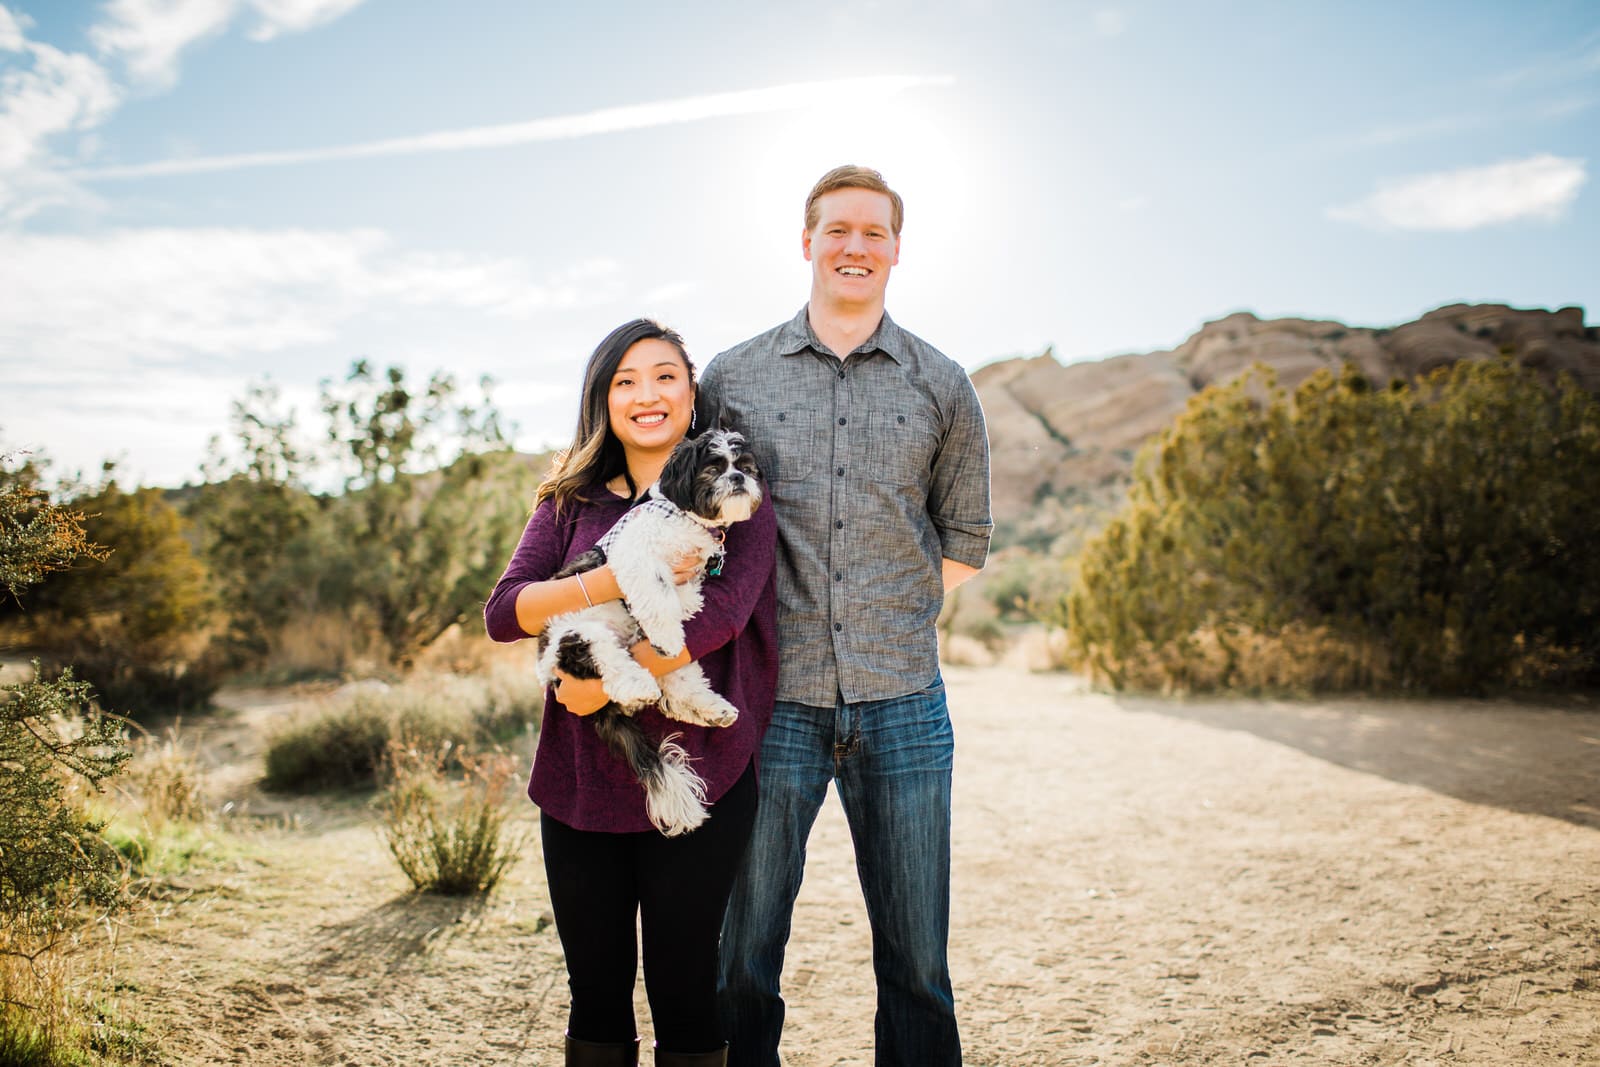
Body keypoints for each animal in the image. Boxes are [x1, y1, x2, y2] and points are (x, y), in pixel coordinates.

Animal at [537, 428, 761, 838]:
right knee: (609, 663)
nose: (739, 478)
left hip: (654, 658)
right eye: (714, 468)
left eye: (746, 467)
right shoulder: (637, 557)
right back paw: (638, 683)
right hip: (577, 636)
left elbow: (680, 596)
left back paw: (713, 710)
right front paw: (669, 626)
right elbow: (656, 591)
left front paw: (686, 604)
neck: (682, 519)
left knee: (677, 690)